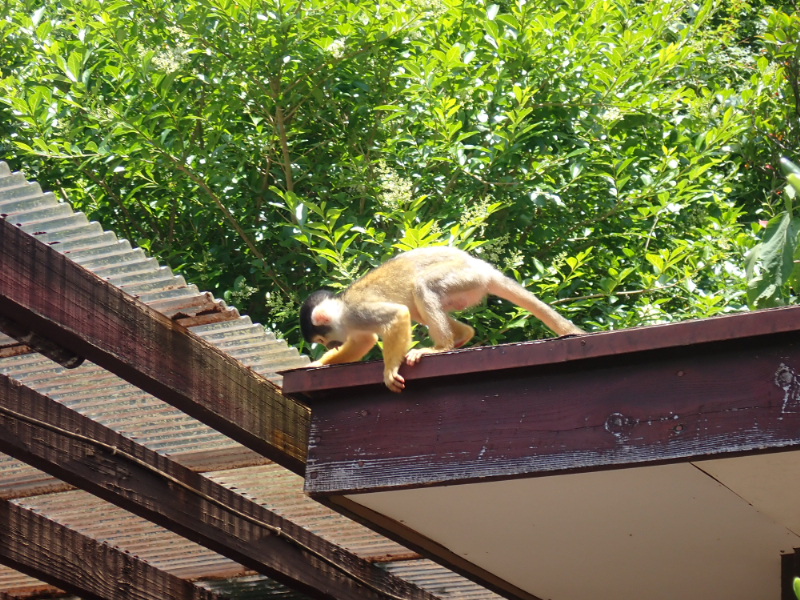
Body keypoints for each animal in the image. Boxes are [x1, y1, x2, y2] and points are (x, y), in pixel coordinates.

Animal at [298, 246, 580, 392]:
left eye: (322, 340)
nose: (330, 346)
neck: (342, 310)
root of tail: (483, 268)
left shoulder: (357, 312)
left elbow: (398, 316)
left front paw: (390, 370)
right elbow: (363, 342)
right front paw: (317, 364)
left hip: (463, 277)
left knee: (422, 287)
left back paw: (442, 346)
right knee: (418, 307)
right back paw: (463, 335)